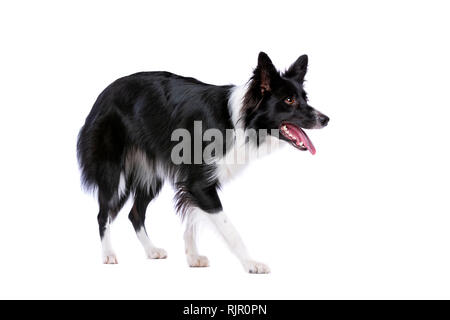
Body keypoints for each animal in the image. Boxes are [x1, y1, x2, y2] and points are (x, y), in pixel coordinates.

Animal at [77, 52, 328, 272]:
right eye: (289, 100)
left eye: (305, 99)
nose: (326, 119)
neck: (238, 121)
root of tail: (102, 95)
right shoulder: (199, 182)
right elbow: (229, 229)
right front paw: (251, 263)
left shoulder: (195, 183)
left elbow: (192, 217)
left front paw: (192, 256)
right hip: (113, 172)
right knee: (103, 213)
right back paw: (108, 254)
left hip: (150, 174)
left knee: (135, 213)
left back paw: (151, 250)